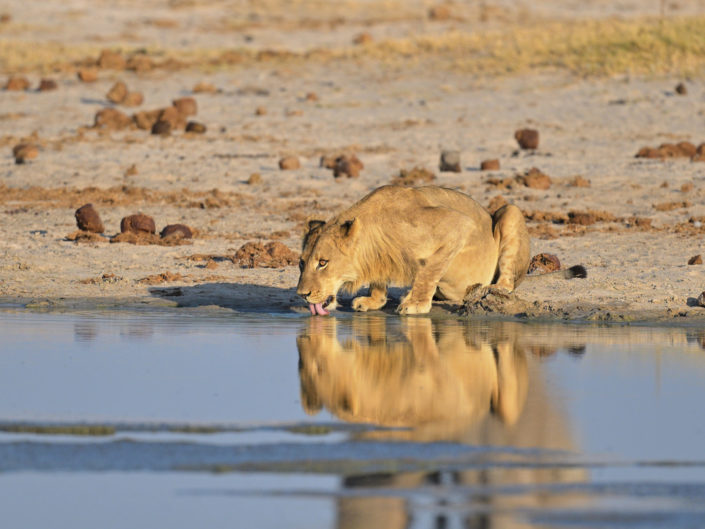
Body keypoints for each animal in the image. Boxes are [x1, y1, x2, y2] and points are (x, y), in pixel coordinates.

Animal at [297, 185, 536, 315]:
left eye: (322, 263)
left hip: (510, 211)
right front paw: (374, 300)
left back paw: (492, 289)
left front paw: (416, 304)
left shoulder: (458, 225)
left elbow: (429, 271)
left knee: (507, 281)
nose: (302, 295)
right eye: (301, 263)